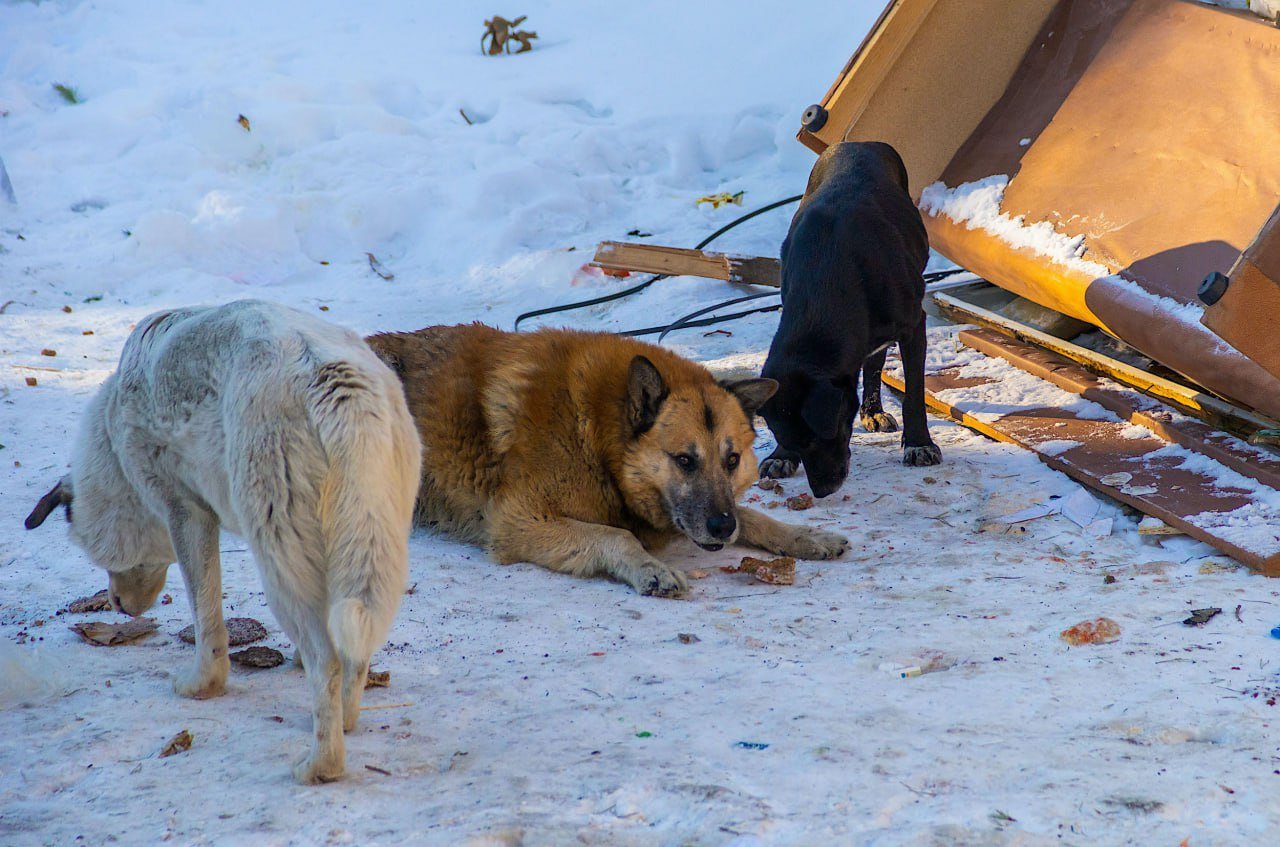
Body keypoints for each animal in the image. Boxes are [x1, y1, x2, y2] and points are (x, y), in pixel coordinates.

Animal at [24, 301, 422, 788]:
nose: (116, 604)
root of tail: (337, 386)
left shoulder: (185, 512)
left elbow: (206, 613)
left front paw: (202, 686)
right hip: (374, 543)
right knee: (353, 650)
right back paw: (345, 720)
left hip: (277, 559)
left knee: (325, 661)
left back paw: (320, 766)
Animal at [368, 324, 849, 596]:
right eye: (684, 460)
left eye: (731, 460)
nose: (720, 528)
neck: (596, 439)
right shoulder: (519, 522)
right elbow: (617, 536)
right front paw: (651, 568)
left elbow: (752, 516)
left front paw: (805, 536)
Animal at [757, 139, 942, 498]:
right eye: (793, 442)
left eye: (818, 437)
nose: (822, 491)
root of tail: (858, 142)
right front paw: (780, 456)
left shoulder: (914, 325)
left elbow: (914, 393)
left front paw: (918, 444)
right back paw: (871, 411)